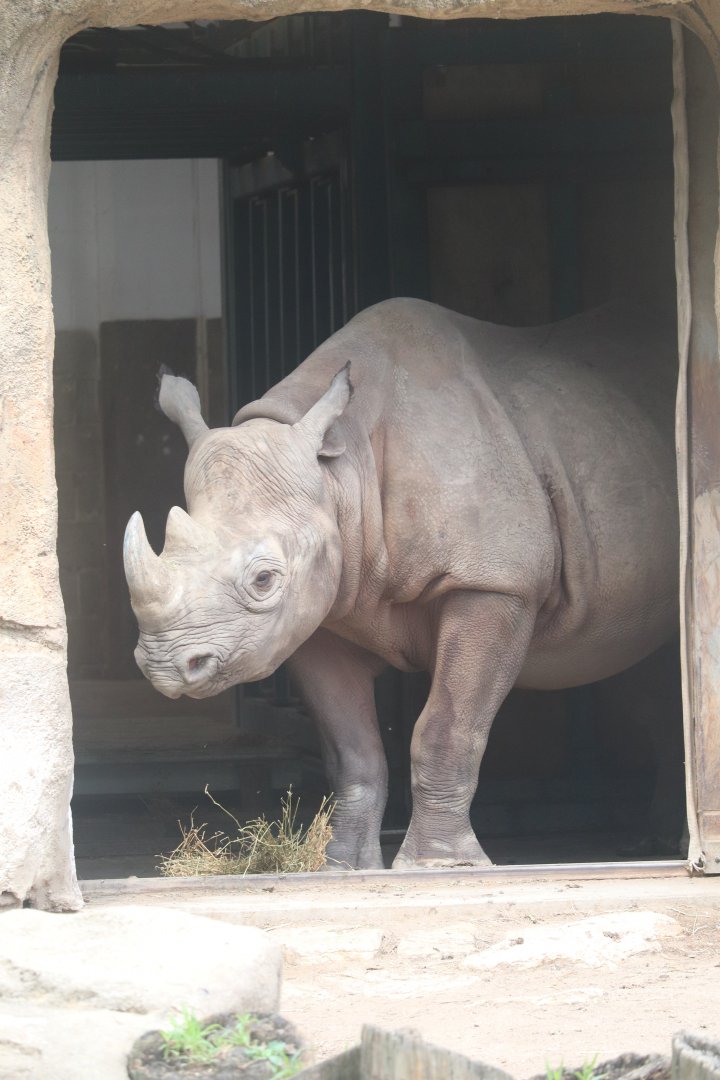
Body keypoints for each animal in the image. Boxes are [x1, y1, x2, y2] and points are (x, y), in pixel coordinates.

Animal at [124, 298, 678, 870]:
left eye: (263, 579)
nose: (165, 667)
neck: (342, 470)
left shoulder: (493, 583)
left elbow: (447, 727)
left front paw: (439, 865)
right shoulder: (317, 612)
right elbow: (352, 750)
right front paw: (344, 867)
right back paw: (652, 843)